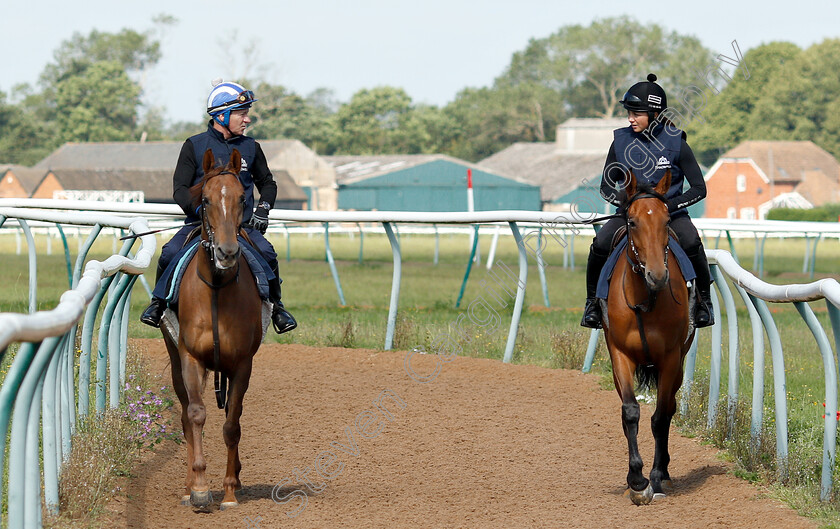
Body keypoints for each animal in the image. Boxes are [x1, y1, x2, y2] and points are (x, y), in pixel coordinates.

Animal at [161, 150, 266, 512]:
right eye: (205, 200)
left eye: (242, 198)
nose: (227, 252)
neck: (218, 289)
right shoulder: (190, 357)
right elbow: (195, 416)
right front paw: (200, 489)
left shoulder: (242, 364)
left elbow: (232, 424)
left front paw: (230, 491)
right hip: (174, 357)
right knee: (184, 415)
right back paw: (187, 486)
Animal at [604, 169, 696, 504]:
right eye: (631, 222)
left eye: (667, 220)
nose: (658, 275)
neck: (646, 299)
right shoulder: (619, 353)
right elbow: (630, 412)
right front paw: (636, 479)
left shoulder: (670, 358)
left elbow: (659, 417)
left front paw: (655, 477)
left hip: (680, 362)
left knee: (668, 408)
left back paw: (665, 472)